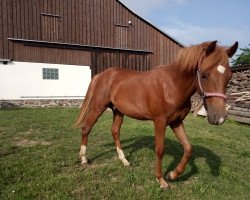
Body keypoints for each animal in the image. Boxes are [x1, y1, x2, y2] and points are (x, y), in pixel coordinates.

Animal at [74, 41, 238, 189]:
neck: (172, 85)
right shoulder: (160, 122)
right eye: (204, 75)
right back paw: (84, 159)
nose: (219, 118)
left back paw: (125, 161)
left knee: (115, 132)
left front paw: (173, 174)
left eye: (229, 76)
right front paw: (161, 180)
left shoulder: (176, 122)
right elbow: (160, 150)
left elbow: (188, 148)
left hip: (118, 111)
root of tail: (101, 75)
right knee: (86, 128)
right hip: (98, 107)